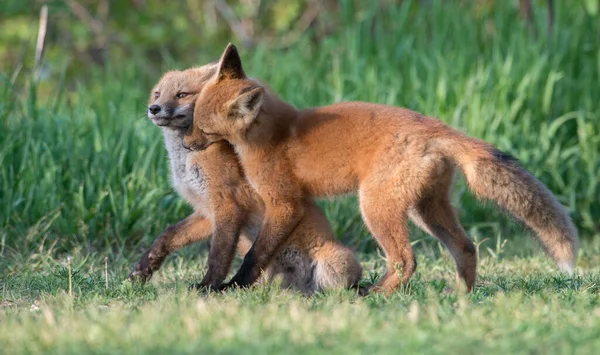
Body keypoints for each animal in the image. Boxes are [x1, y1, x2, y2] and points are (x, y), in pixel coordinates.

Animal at [127, 63, 360, 294]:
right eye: (157, 94)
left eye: (181, 94)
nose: (154, 108)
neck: (186, 160)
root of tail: (298, 287)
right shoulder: (208, 212)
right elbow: (167, 235)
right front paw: (142, 269)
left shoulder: (228, 205)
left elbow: (218, 256)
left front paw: (207, 286)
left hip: (338, 264)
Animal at [183, 43, 576, 294]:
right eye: (194, 123)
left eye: (203, 129)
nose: (185, 143)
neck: (272, 133)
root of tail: (436, 128)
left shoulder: (284, 203)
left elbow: (256, 253)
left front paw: (233, 286)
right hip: (426, 209)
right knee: (466, 248)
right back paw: (461, 296)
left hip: (375, 207)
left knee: (406, 260)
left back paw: (377, 295)